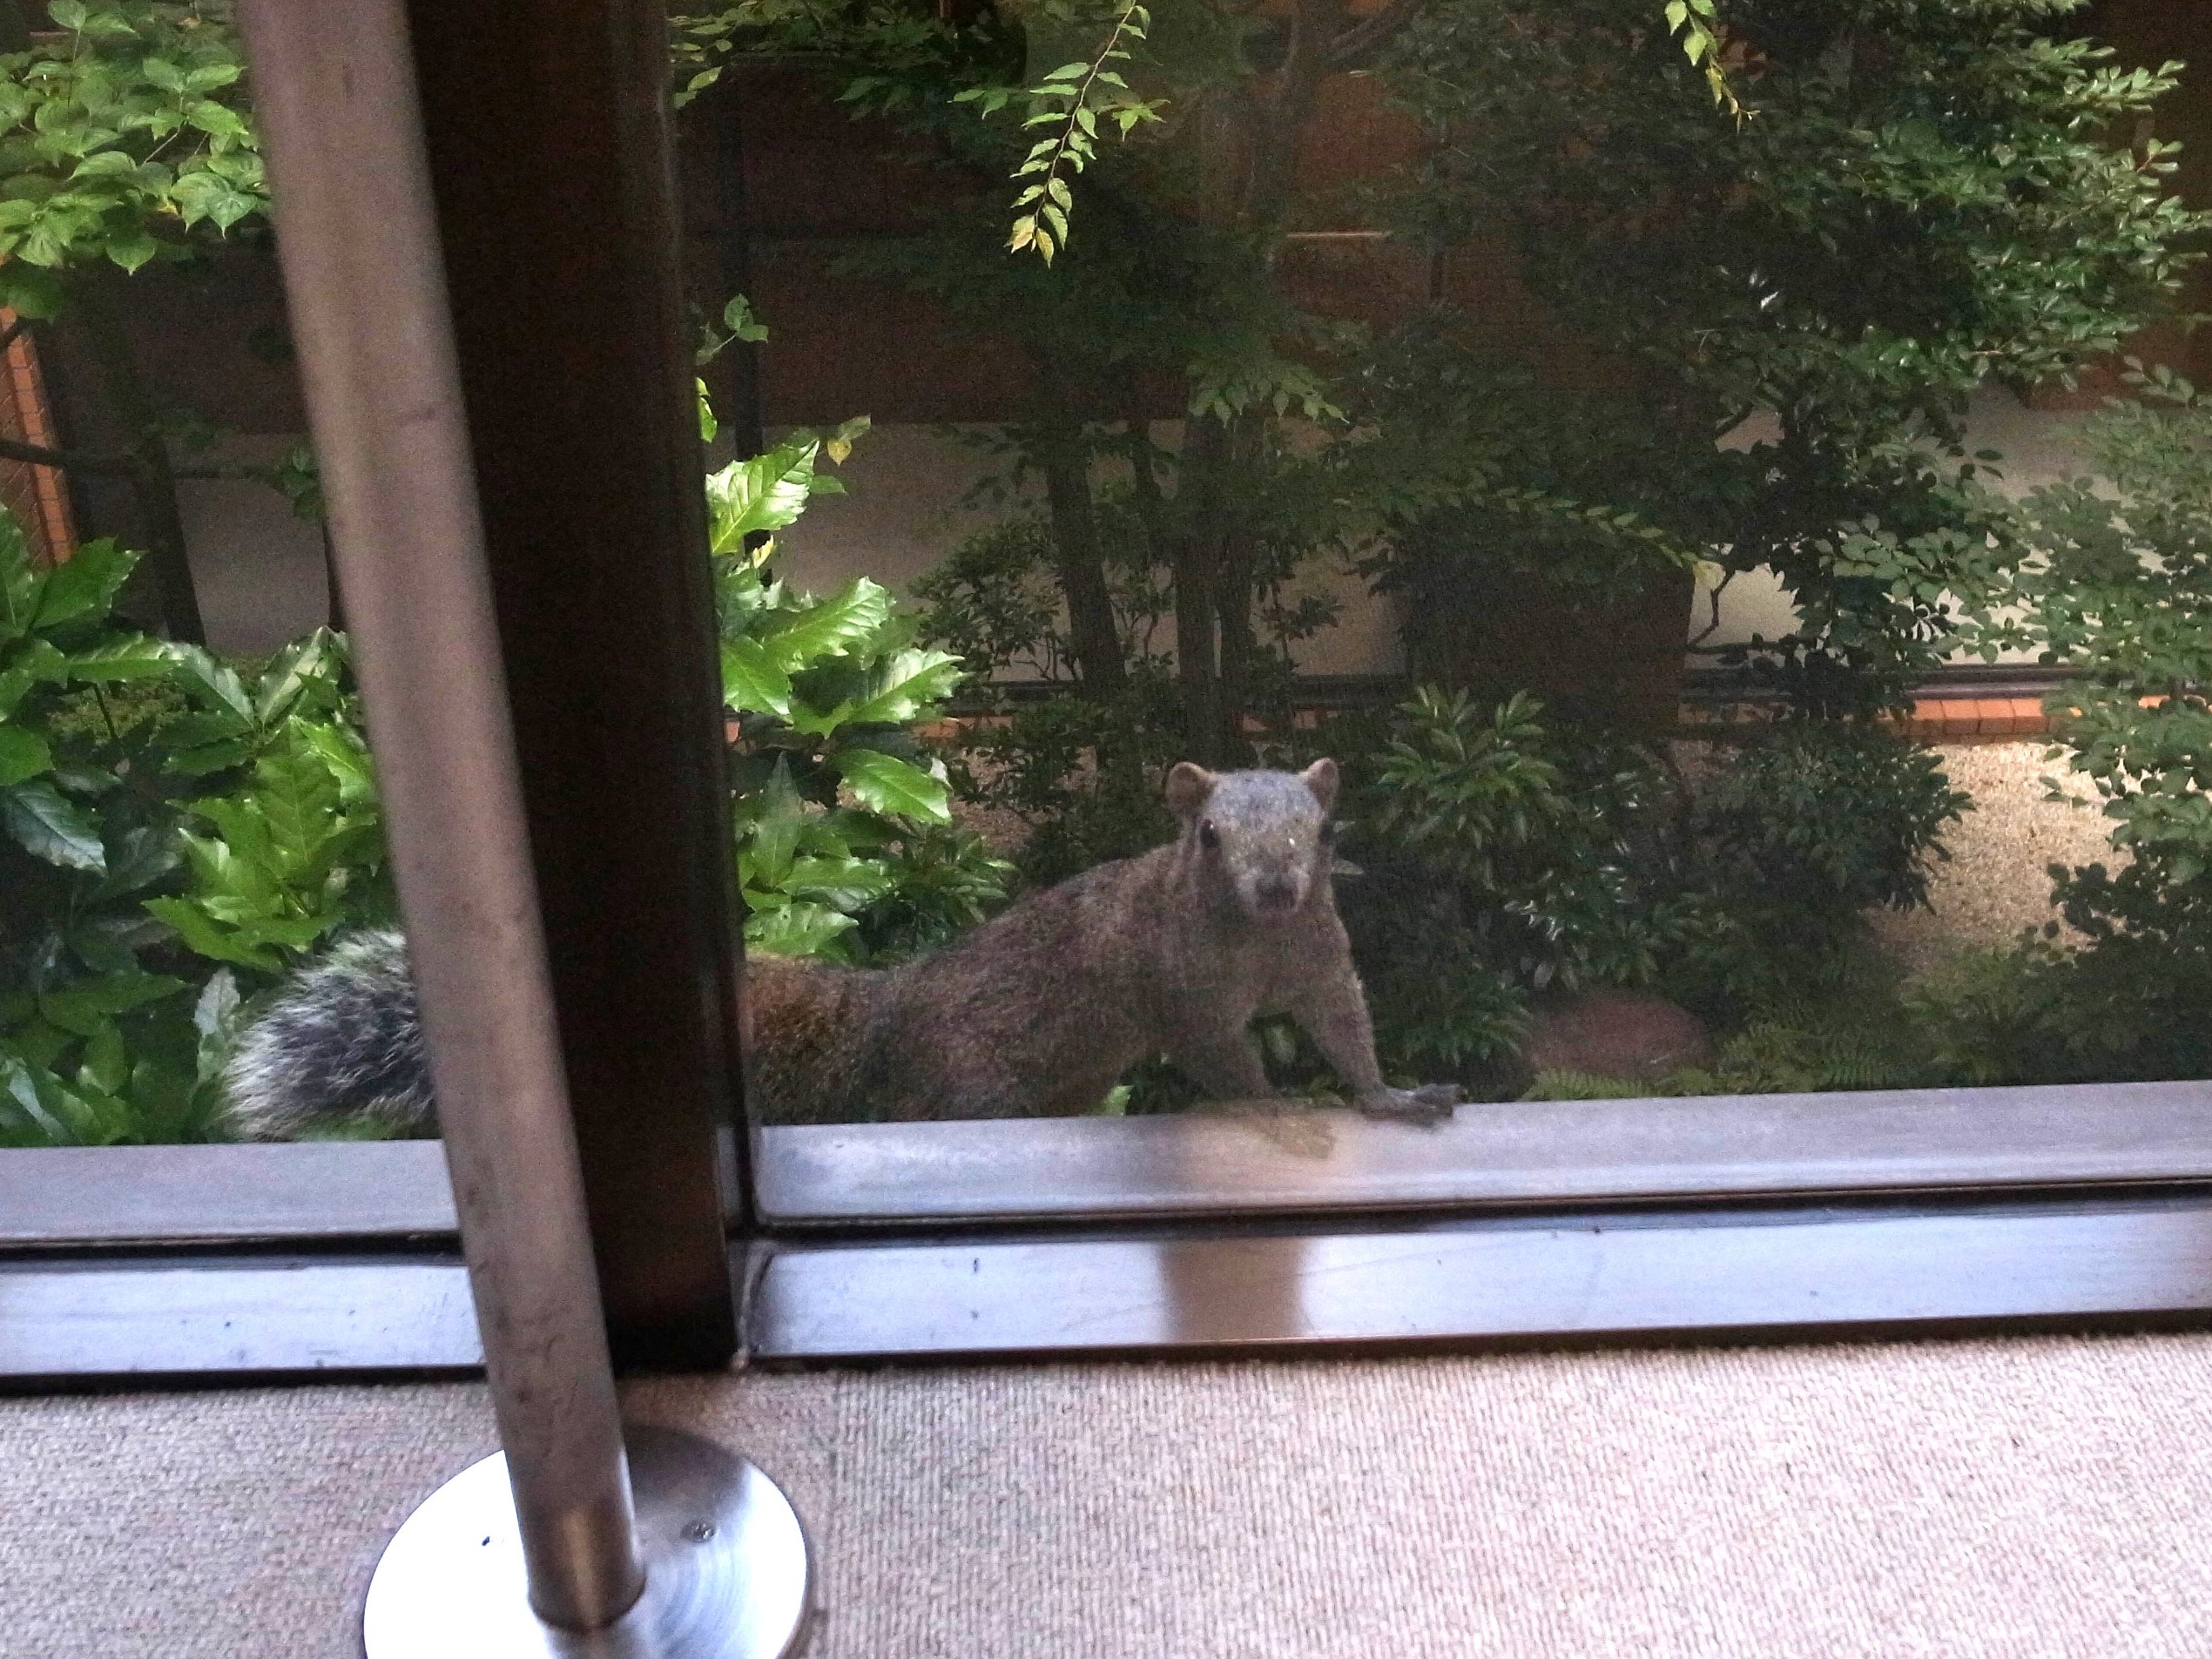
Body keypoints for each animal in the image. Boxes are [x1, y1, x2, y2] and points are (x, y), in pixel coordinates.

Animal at [221, 758, 1460, 1137]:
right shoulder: (1180, 987)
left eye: (1317, 833)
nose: (1274, 885)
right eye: (1209, 836)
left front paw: (1388, 1094)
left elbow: (1345, 1030)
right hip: (970, 1081)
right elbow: (1223, 1058)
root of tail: (890, 1013)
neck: (1257, 945)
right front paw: (1275, 1105)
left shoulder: (1318, 963)